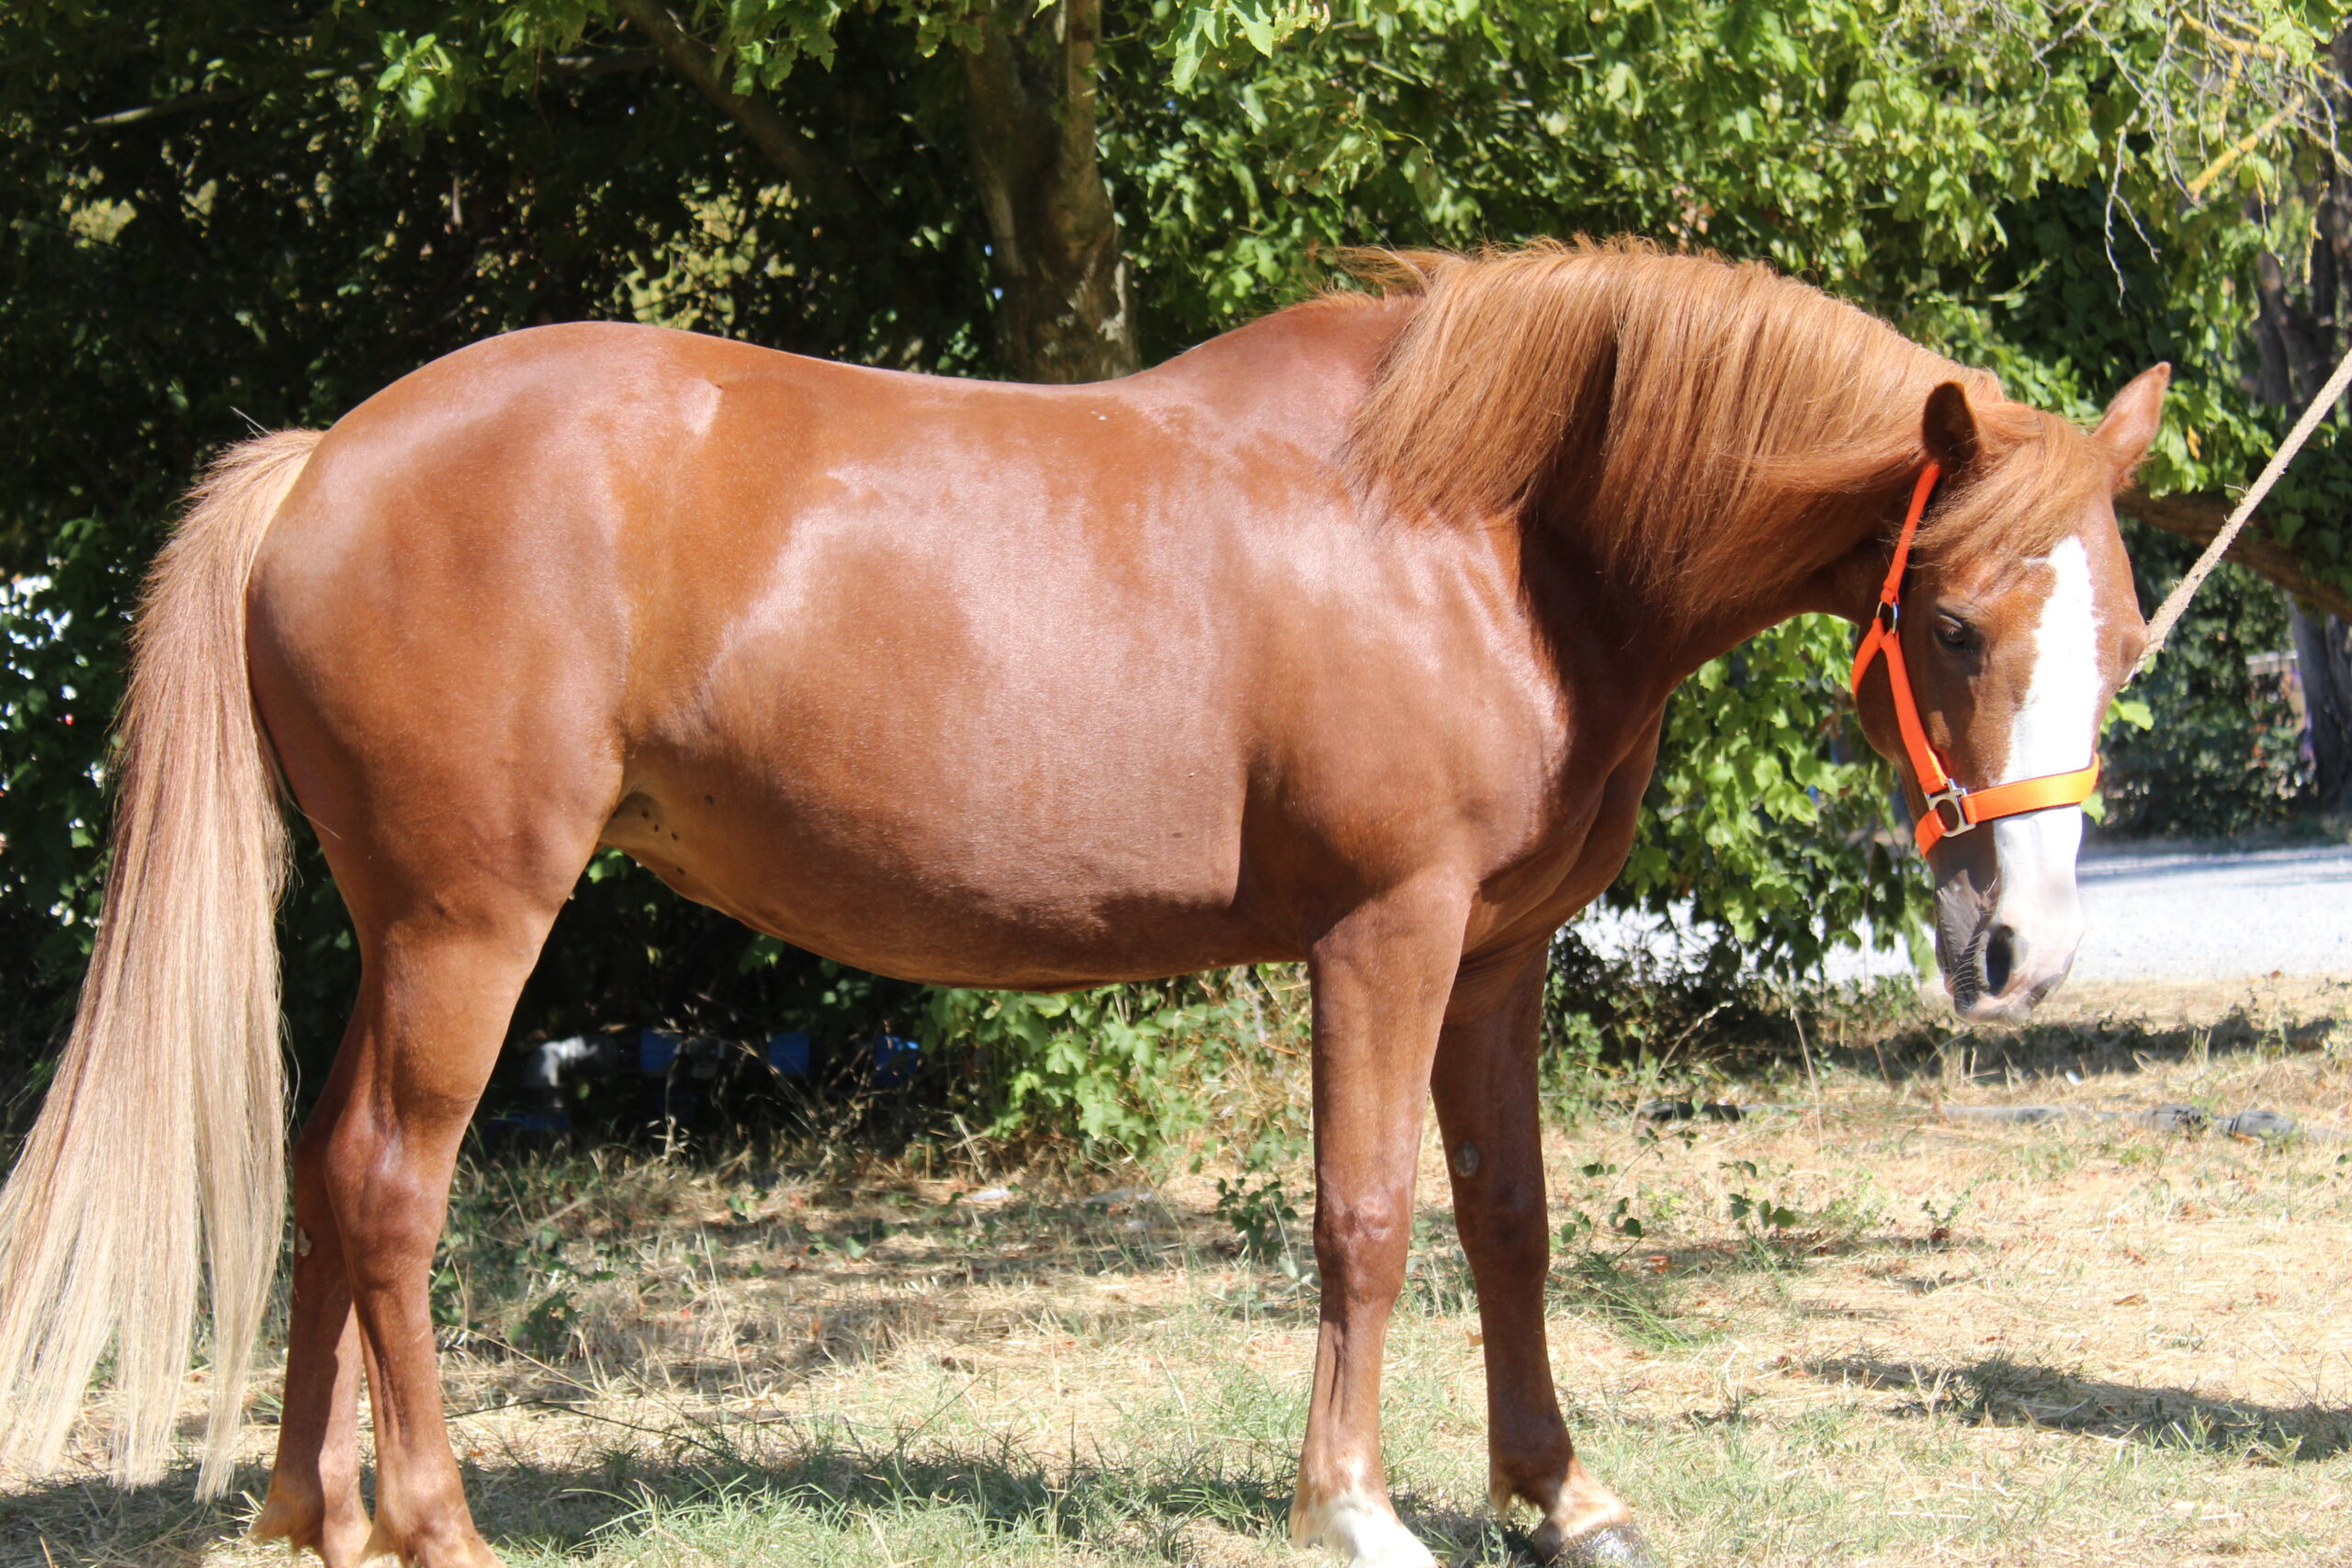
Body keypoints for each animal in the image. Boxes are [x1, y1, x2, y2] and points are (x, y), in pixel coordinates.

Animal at [0, 240, 2154, 1561]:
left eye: (2124, 634)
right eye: (1954, 623)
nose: (2020, 945)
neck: (1493, 528)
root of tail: (323, 460)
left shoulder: (1495, 956)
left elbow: (1510, 1224)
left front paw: (1561, 1495)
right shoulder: (1384, 933)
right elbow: (1367, 1218)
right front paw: (1351, 1503)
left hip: (391, 930)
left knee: (317, 1167)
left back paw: (311, 1514)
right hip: (469, 920)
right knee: (387, 1187)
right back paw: (439, 1521)